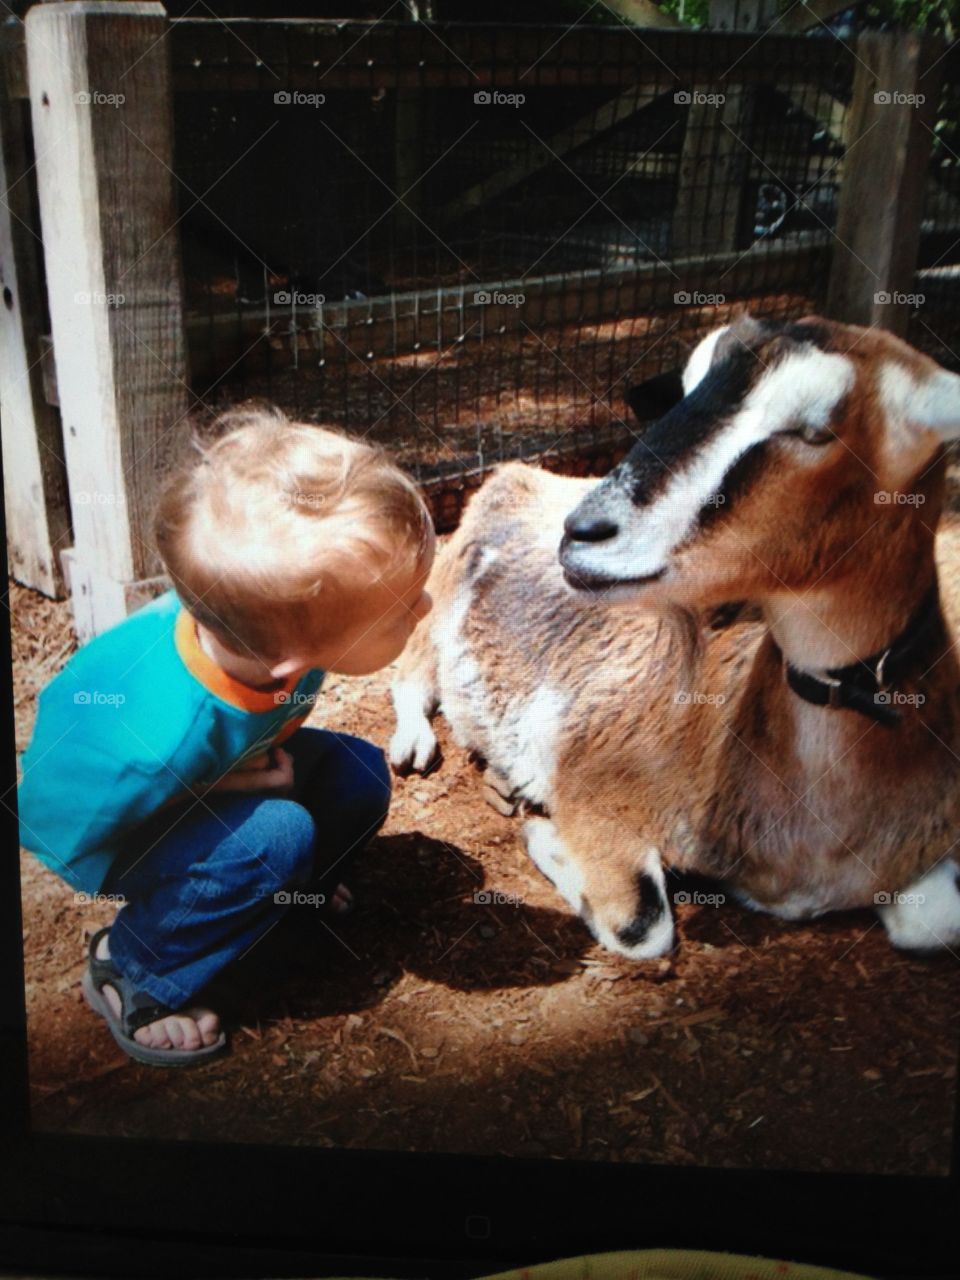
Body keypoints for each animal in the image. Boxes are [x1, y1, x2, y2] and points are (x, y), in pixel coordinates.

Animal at [390, 314, 960, 959]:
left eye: (815, 430)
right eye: (687, 387)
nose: (584, 531)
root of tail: (520, 473)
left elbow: (936, 922)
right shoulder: (596, 787)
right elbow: (642, 923)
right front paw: (542, 835)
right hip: (433, 607)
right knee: (409, 675)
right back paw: (414, 743)